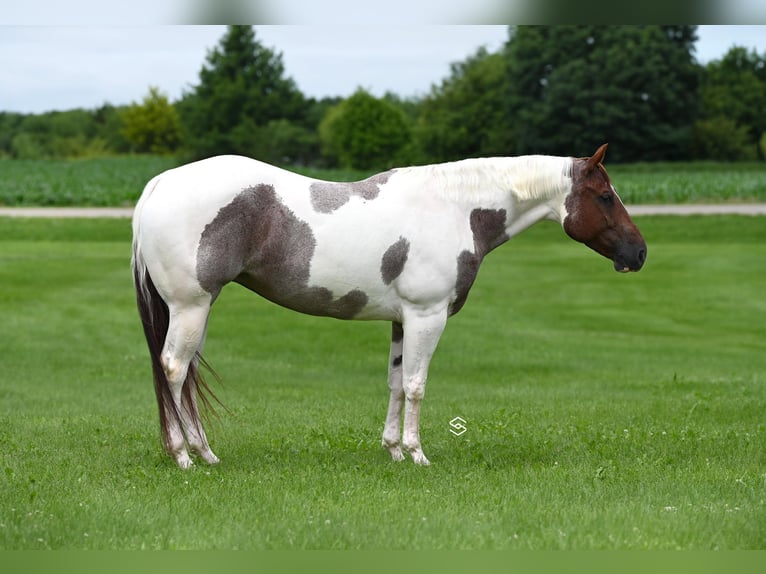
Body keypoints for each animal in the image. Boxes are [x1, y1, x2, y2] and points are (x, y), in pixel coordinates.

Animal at [134, 143, 648, 468]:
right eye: (606, 196)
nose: (639, 253)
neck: (455, 208)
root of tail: (160, 183)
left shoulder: (403, 322)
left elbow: (397, 383)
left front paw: (394, 450)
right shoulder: (427, 316)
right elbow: (418, 385)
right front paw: (418, 454)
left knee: (180, 374)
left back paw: (203, 453)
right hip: (191, 307)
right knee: (174, 369)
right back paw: (185, 456)